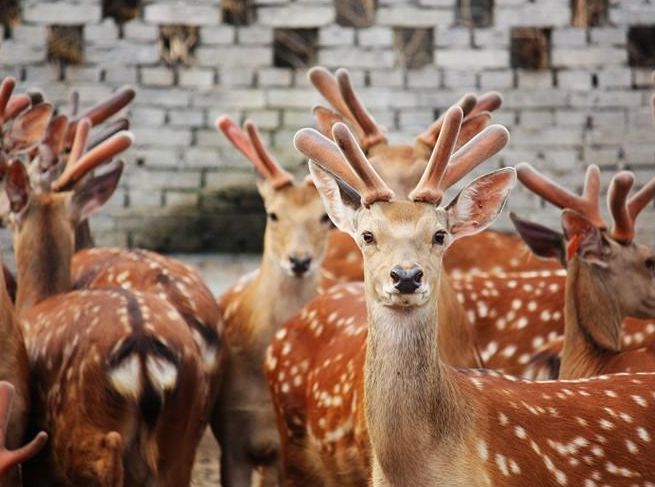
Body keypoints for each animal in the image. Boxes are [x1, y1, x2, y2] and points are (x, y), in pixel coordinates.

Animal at [4, 129, 208, 487]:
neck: (35, 301)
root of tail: (144, 352)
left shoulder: (37, 455)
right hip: (182, 431)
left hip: (81, 417)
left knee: (106, 454)